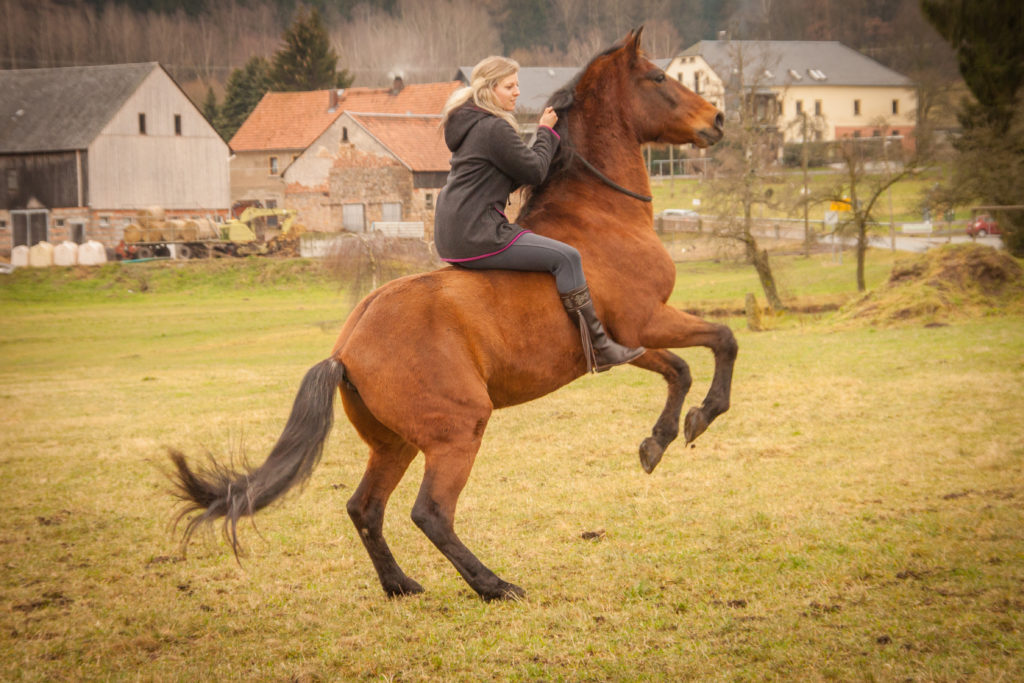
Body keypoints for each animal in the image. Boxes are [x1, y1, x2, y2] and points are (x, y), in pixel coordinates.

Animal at [172, 29, 737, 602]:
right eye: (659, 78)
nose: (717, 118)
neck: (601, 212)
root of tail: (346, 348)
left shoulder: (629, 341)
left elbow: (680, 368)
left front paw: (661, 440)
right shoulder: (645, 321)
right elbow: (722, 339)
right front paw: (704, 415)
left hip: (394, 443)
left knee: (364, 508)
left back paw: (400, 584)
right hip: (457, 433)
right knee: (431, 513)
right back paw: (494, 585)